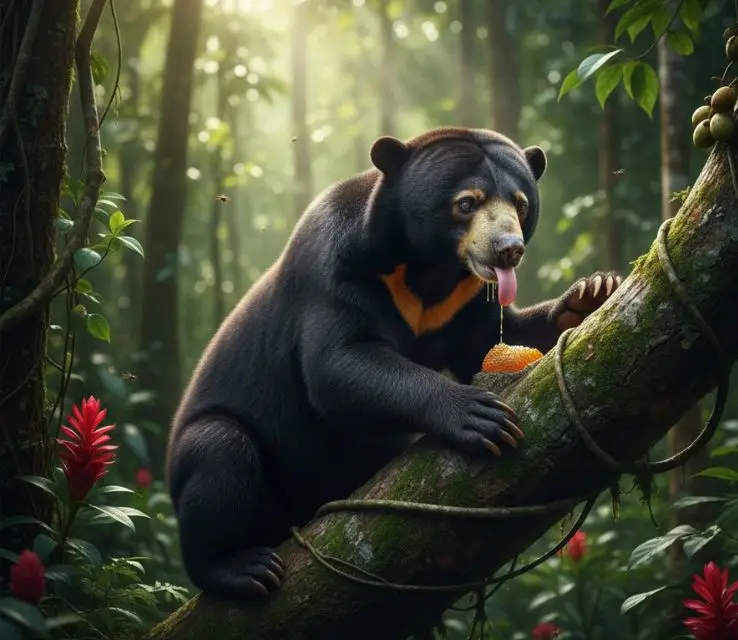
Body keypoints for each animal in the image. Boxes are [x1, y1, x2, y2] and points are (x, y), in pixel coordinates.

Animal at [165, 126, 620, 601]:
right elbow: (338, 362)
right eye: (466, 203)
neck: (429, 267)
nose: (507, 250)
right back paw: (240, 568)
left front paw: (592, 292)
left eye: (521, 203)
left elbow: (492, 341)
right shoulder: (338, 268)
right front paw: (481, 416)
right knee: (219, 451)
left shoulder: (463, 300)